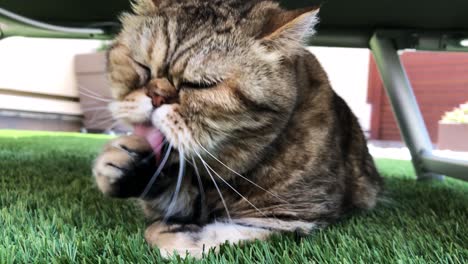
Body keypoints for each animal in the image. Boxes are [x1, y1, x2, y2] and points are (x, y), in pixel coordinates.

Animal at [93, 0, 382, 258]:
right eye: (141, 65)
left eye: (200, 85)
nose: (156, 96)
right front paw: (126, 162)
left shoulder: (291, 220)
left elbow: (196, 239)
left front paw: (170, 231)